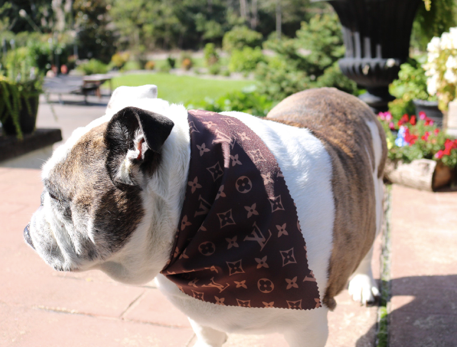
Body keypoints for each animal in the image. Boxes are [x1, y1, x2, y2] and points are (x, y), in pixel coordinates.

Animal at [25, 85, 386, 347]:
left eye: (54, 195)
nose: (27, 229)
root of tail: (342, 93)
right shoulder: (204, 322)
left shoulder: (307, 329)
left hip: (376, 197)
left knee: (369, 246)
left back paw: (364, 283)